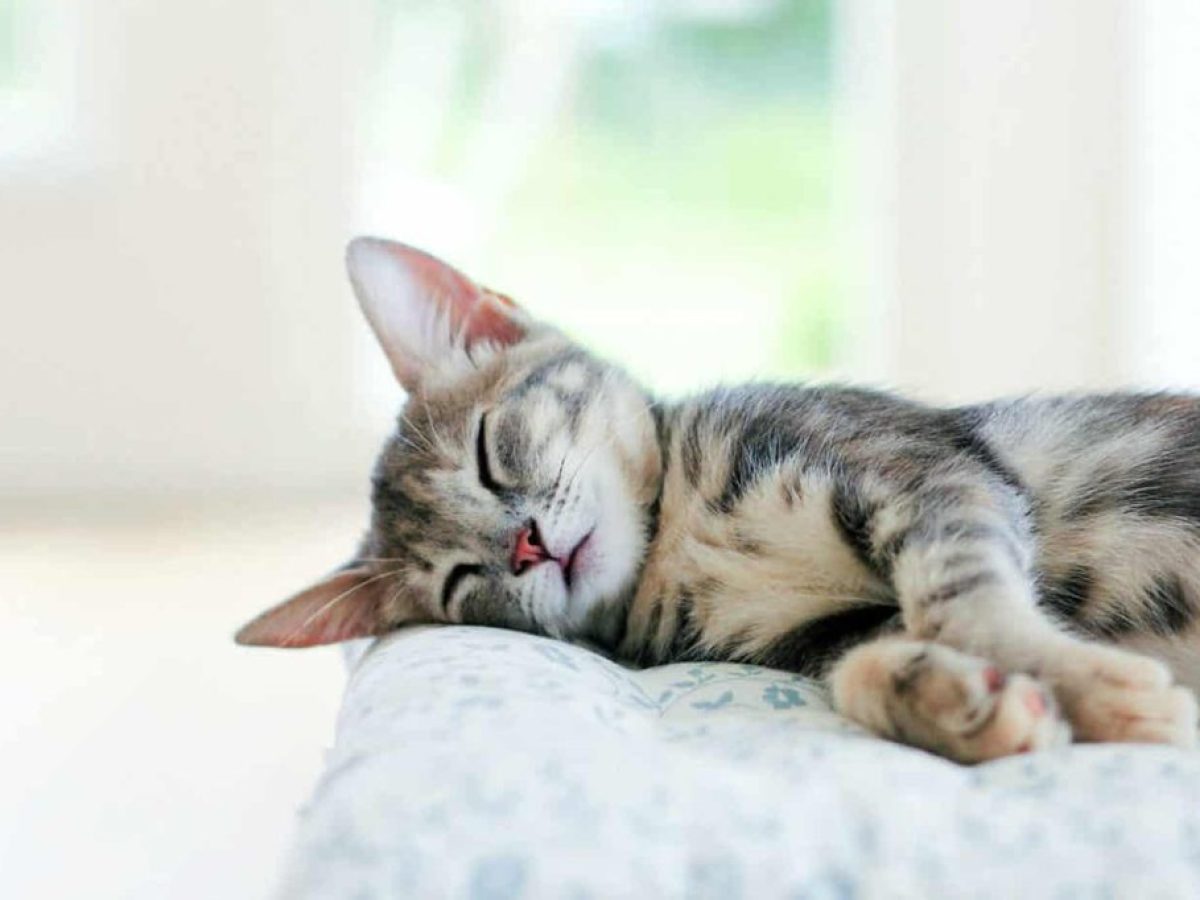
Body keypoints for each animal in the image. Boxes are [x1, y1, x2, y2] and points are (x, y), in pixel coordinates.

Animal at [236, 236, 1200, 764]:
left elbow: (961, 596)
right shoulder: (810, 636)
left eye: (487, 450)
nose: (526, 546)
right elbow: (864, 664)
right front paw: (966, 703)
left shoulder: (923, 471)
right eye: (459, 581)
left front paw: (1091, 686)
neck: (678, 538)